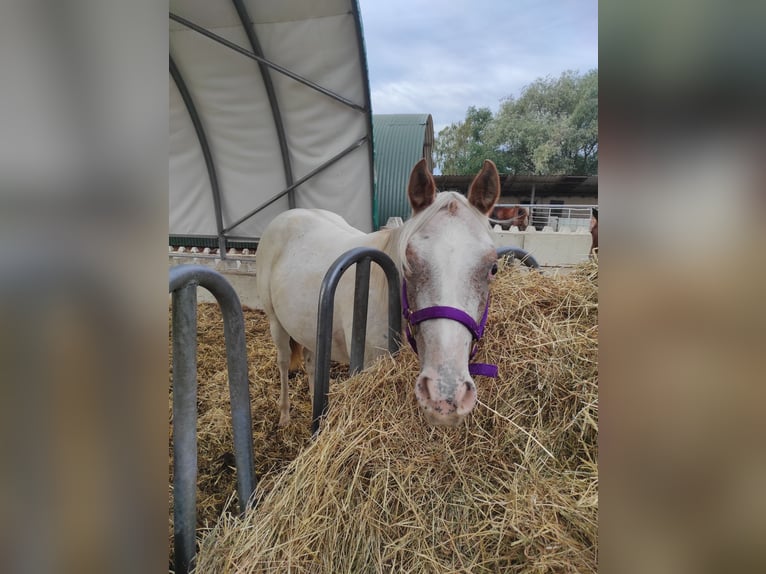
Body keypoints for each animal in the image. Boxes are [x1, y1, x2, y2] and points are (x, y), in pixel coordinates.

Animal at [255, 160, 500, 426]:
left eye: (493, 268)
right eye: (408, 265)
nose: (444, 395)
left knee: (310, 362)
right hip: (276, 324)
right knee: (283, 361)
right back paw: (284, 416)